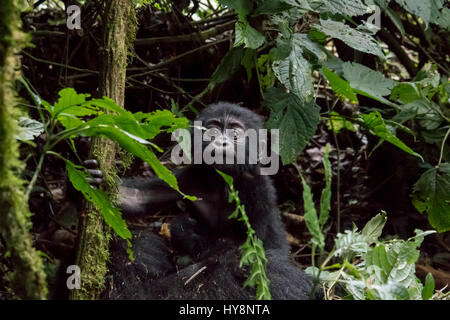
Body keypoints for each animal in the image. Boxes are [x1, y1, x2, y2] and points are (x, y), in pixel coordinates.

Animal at [103, 102, 318, 300]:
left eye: (235, 132)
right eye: (213, 130)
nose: (221, 142)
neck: (222, 179)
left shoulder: (256, 187)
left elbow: (251, 249)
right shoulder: (190, 177)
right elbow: (140, 197)